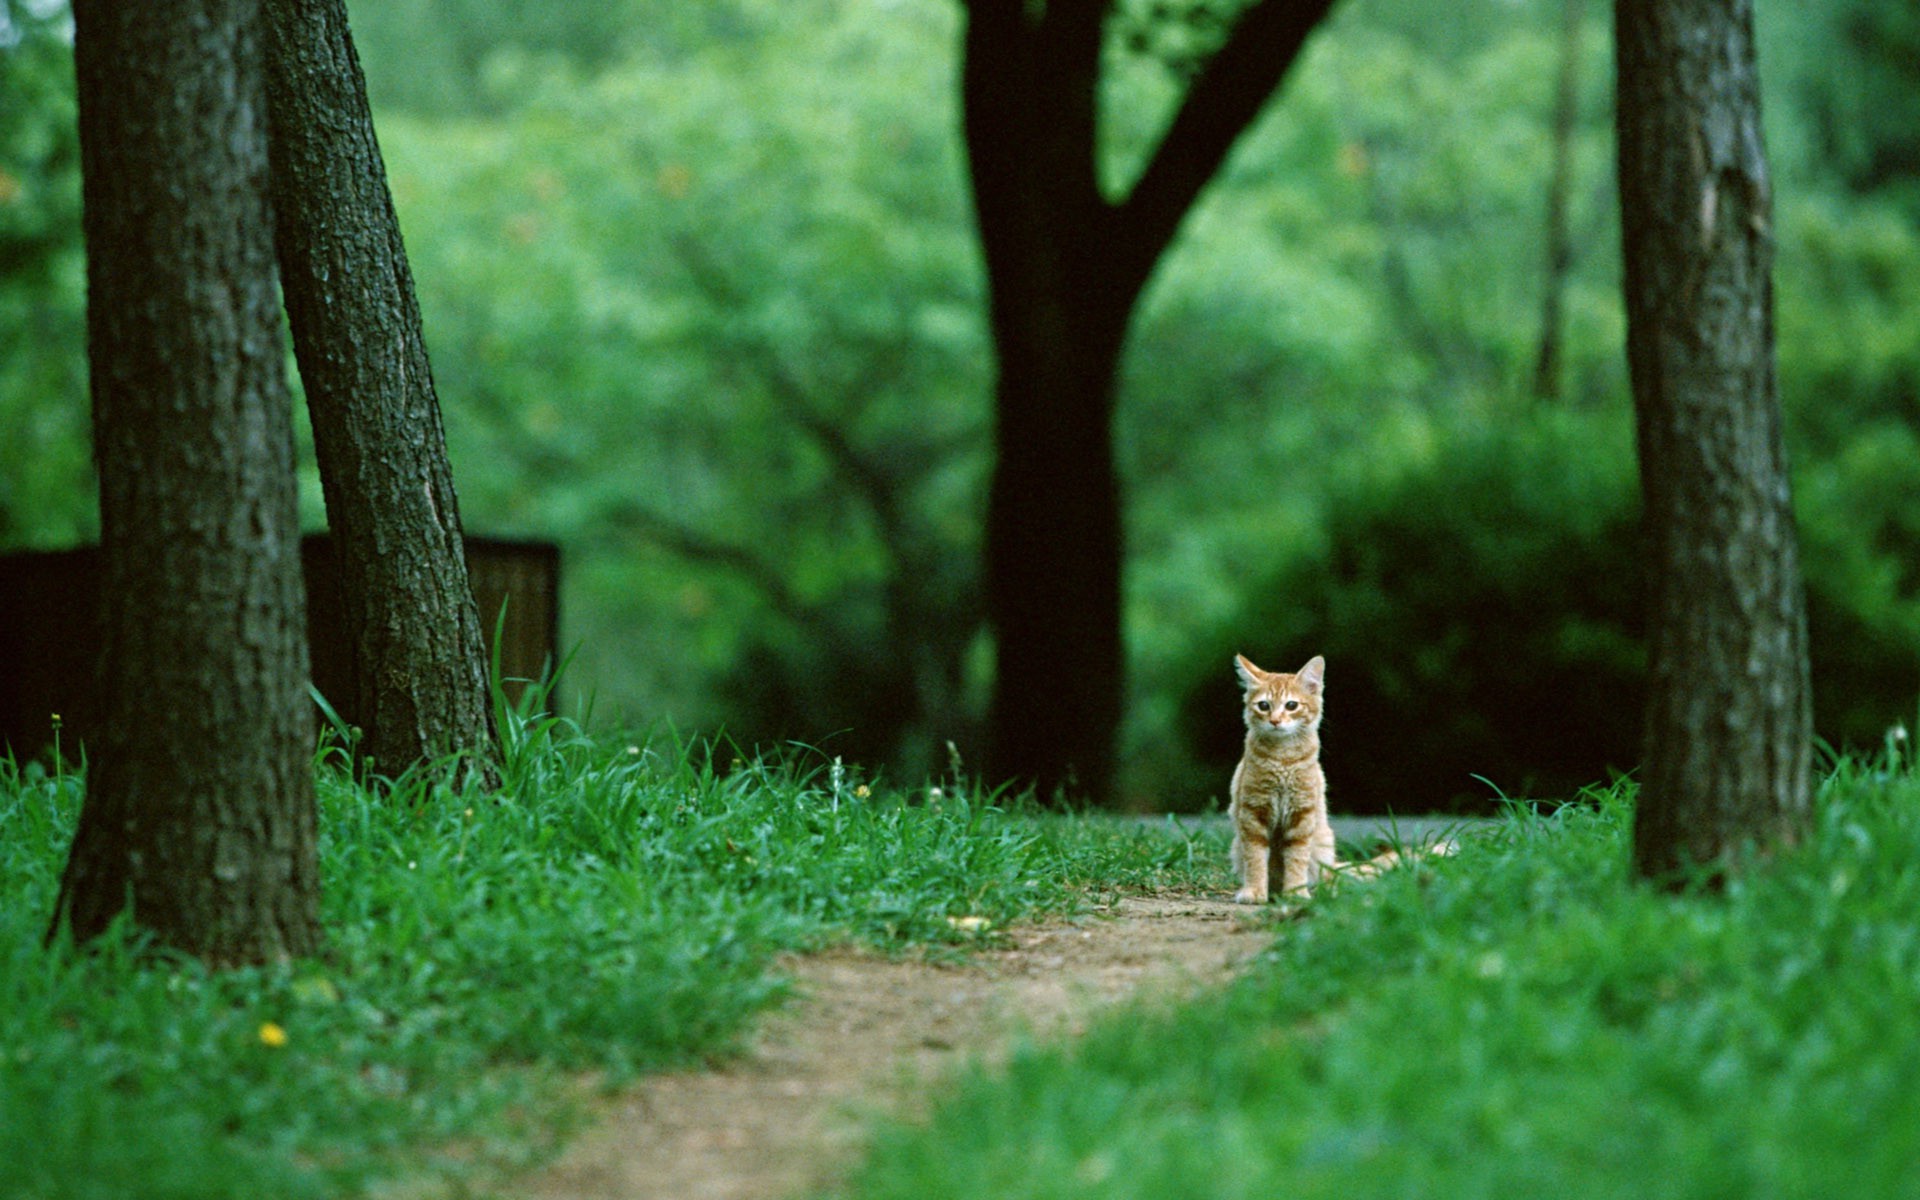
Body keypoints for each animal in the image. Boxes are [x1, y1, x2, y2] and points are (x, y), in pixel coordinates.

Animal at [1228, 656, 1336, 898]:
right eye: (1264, 706)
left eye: (1291, 705)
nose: (1275, 720)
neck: (1282, 759)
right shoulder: (1253, 812)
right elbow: (1255, 857)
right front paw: (1254, 891)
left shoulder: (1302, 814)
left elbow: (1297, 859)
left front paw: (1295, 893)